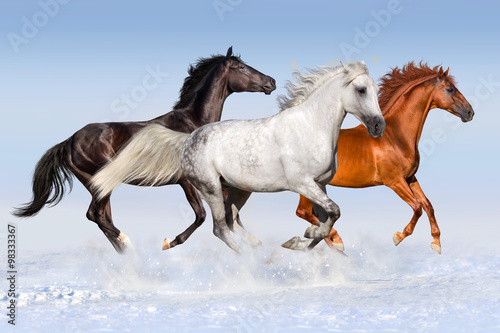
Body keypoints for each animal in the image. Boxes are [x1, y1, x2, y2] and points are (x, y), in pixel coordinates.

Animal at [13, 46, 278, 252]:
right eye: (241, 67)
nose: (271, 82)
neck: (191, 124)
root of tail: (69, 141)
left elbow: (231, 213)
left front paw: (254, 244)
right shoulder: (187, 182)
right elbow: (202, 216)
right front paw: (169, 242)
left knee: (101, 216)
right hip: (99, 182)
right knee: (95, 215)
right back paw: (127, 243)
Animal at [92, 60, 384, 252]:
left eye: (375, 89)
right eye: (361, 90)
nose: (379, 126)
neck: (310, 126)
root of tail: (188, 138)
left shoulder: (319, 185)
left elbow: (326, 221)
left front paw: (300, 240)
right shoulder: (302, 183)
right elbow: (334, 211)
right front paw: (300, 239)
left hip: (238, 189)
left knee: (231, 220)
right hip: (210, 188)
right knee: (220, 227)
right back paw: (249, 263)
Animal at [294, 62, 474, 253]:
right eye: (450, 89)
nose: (470, 112)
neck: (395, 135)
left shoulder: (410, 177)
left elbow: (428, 205)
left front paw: (436, 242)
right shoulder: (394, 181)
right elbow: (417, 207)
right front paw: (399, 236)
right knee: (304, 212)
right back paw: (334, 241)